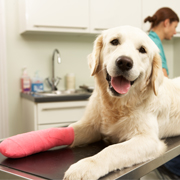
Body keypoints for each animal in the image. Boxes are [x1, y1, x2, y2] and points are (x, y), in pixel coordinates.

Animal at [63, 25, 180, 180]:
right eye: (114, 41)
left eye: (142, 50)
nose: (124, 62)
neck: (118, 104)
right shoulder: (90, 126)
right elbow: (70, 130)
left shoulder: (148, 140)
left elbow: (113, 149)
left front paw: (85, 166)